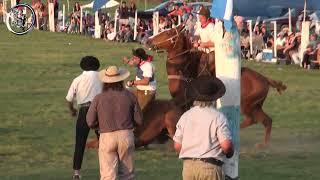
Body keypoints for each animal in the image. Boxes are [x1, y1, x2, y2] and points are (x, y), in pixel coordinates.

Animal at [146, 24, 286, 147]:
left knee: (252, 120)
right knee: (267, 121)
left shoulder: (182, 100)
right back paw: (262, 145)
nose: (148, 40)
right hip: (256, 106)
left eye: (168, 32)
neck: (184, 69)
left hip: (247, 105)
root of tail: (265, 79)